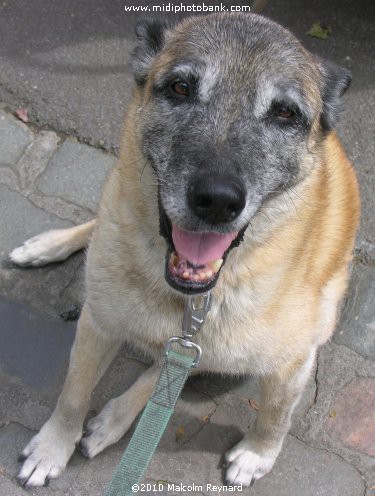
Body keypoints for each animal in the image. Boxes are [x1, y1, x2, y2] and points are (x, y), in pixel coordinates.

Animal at [10, 11, 360, 488]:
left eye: (285, 113)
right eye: (181, 87)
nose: (217, 201)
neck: (192, 300)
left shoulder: (292, 364)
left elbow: (275, 416)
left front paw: (257, 454)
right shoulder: (98, 323)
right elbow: (72, 394)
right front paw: (52, 447)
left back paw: (115, 419)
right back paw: (47, 245)